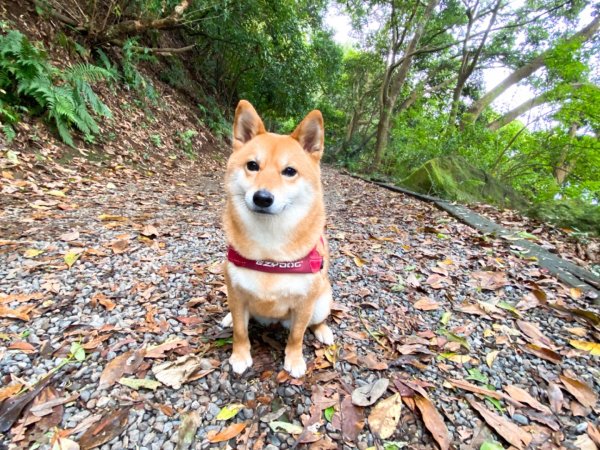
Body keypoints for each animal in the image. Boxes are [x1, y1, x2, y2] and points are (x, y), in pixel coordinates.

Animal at [221, 100, 336, 378]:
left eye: (289, 171)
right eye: (252, 165)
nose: (262, 198)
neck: (269, 251)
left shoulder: (304, 303)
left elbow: (296, 335)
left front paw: (294, 360)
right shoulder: (236, 290)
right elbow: (240, 330)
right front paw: (240, 355)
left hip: (321, 300)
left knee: (316, 321)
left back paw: (323, 331)